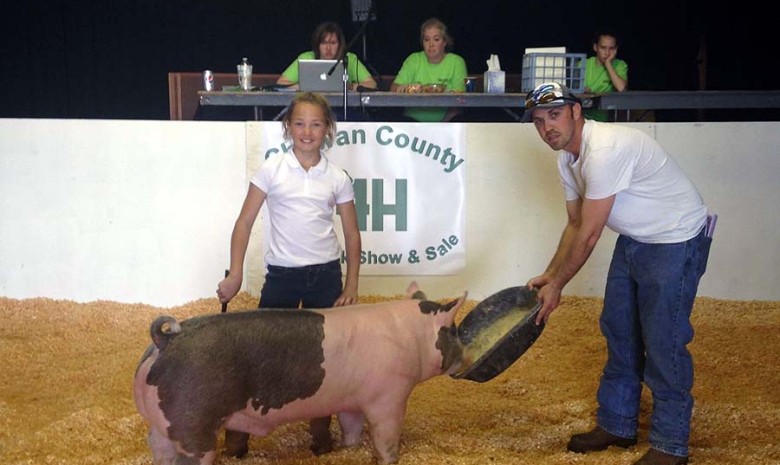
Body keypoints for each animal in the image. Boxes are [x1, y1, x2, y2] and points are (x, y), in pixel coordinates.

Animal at [131, 280, 466, 462]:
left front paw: (347, 449)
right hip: (193, 426)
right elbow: (386, 435)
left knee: (157, 446)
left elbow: (352, 427)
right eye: (453, 331)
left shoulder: (353, 399)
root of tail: (165, 340)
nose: (464, 357)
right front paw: (388, 459)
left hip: (162, 425)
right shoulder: (389, 396)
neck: (411, 336)